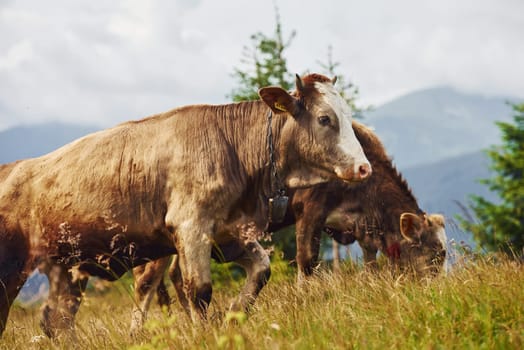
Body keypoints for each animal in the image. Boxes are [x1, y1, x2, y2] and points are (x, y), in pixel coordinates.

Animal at [0, 74, 370, 340]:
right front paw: (205, 332)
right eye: (324, 118)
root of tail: (13, 168)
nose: (364, 167)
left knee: (56, 319)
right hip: (11, 267)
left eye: (347, 116)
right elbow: (199, 290)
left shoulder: (228, 233)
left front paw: (232, 315)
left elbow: (261, 269)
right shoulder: (191, 227)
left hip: (67, 266)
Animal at [130, 120, 446, 330]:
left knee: (176, 276)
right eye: (434, 254)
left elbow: (370, 257)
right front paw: (304, 303)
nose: (436, 294)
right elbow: (306, 260)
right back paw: (140, 334)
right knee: (146, 282)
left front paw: (372, 284)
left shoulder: (358, 225)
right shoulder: (310, 209)